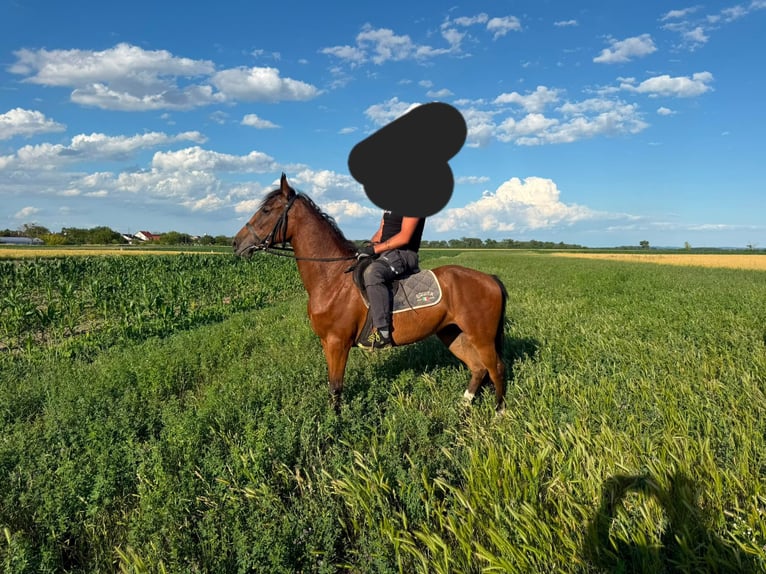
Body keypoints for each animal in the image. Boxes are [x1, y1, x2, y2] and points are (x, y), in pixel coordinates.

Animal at [233, 174, 508, 412]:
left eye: (266, 211)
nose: (236, 243)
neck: (332, 279)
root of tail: (491, 279)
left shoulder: (338, 343)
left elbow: (336, 387)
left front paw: (335, 427)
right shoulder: (326, 342)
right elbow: (332, 385)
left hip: (481, 337)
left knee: (496, 368)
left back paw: (498, 413)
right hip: (452, 333)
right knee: (478, 368)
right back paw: (462, 406)